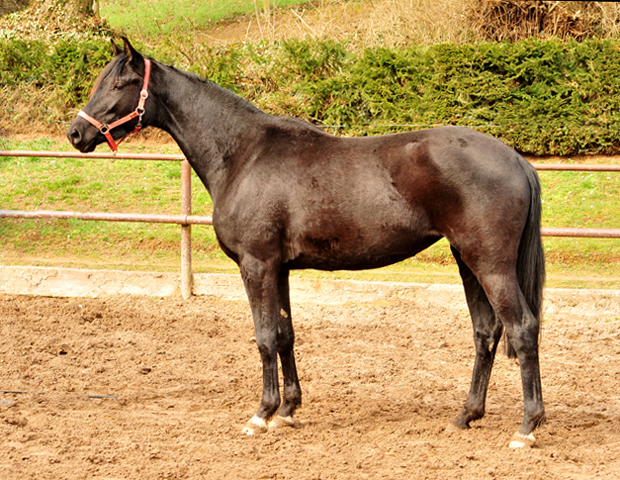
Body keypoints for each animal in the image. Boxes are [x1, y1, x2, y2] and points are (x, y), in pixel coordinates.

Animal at [65, 39, 544, 448]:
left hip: (490, 265)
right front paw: (289, 410)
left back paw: (527, 428)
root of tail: (516, 158)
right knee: (486, 332)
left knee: (522, 328)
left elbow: (264, 337)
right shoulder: (279, 269)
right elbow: (285, 334)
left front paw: (262, 414)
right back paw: (466, 415)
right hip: (467, 261)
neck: (244, 155)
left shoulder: (256, 265)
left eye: (120, 84)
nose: (75, 134)